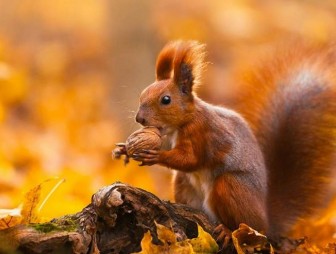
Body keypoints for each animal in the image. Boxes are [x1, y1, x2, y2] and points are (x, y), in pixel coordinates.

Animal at [132, 41, 336, 244]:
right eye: (142, 94)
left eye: (166, 100)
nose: (139, 118)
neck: (187, 119)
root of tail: (267, 222)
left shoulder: (202, 132)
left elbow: (191, 160)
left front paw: (155, 156)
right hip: (183, 184)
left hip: (230, 187)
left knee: (245, 226)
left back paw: (228, 231)